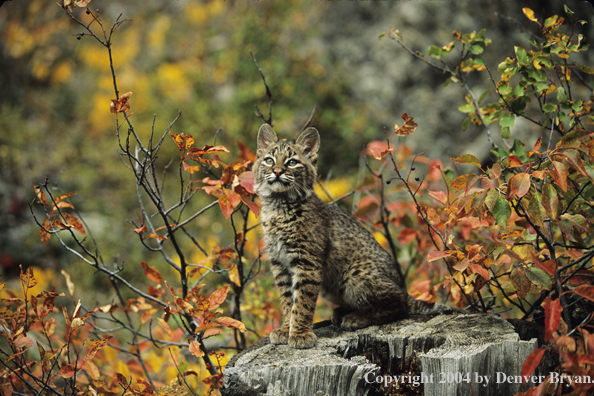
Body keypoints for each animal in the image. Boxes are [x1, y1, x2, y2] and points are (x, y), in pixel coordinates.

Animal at [253, 124, 444, 350]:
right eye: (269, 160)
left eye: (292, 162)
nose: (277, 171)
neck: (278, 204)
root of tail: (403, 288)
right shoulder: (279, 262)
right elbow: (287, 300)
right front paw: (286, 329)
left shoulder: (307, 262)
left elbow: (302, 301)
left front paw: (299, 333)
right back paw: (342, 312)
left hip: (355, 274)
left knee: (399, 306)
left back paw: (355, 318)